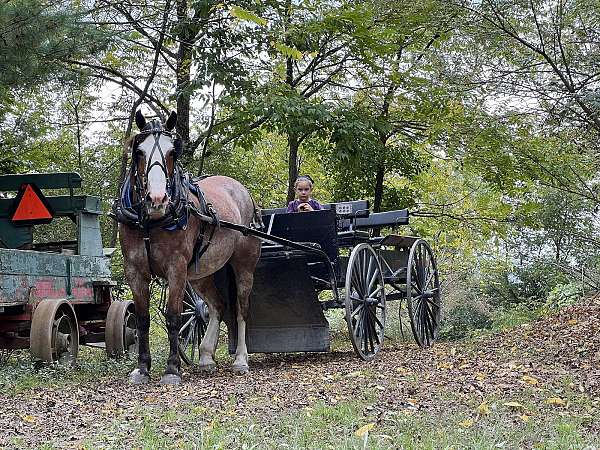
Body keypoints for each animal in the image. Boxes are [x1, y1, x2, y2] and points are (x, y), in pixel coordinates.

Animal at [115, 110, 260, 384]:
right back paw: (205, 356)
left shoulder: (177, 268)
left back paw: (240, 359)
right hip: (201, 273)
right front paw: (142, 368)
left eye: (173, 152)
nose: (157, 199)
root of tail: (242, 191)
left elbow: (173, 316)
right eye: (138, 151)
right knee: (217, 306)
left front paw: (172, 369)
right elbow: (142, 319)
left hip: (244, 265)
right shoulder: (134, 271)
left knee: (242, 309)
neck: (150, 222)